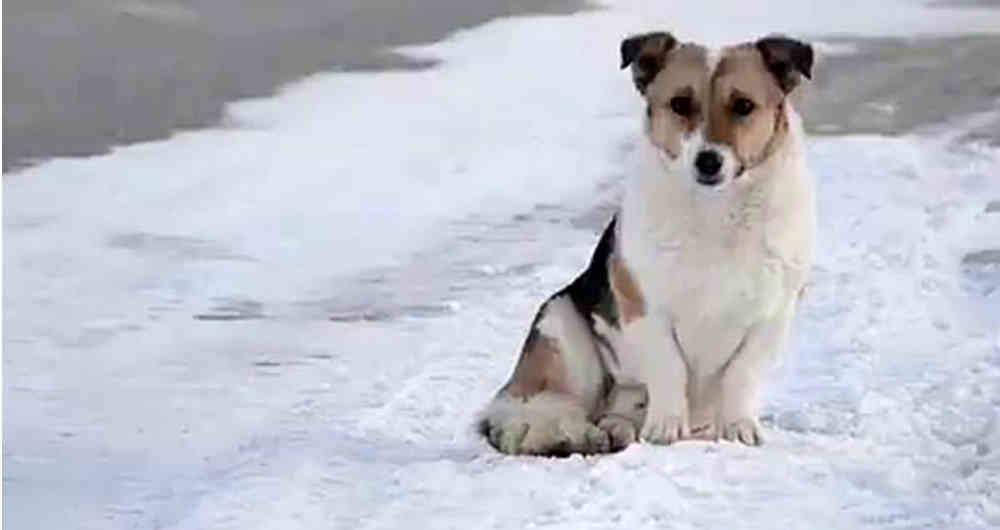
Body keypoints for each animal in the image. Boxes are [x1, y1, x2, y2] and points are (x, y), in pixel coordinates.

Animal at [480, 32, 816, 454]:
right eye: (680, 103)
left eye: (743, 106)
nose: (708, 161)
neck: (715, 212)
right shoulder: (643, 308)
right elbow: (669, 368)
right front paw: (666, 427)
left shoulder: (772, 317)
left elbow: (742, 374)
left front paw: (739, 428)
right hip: (562, 328)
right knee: (547, 406)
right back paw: (574, 431)